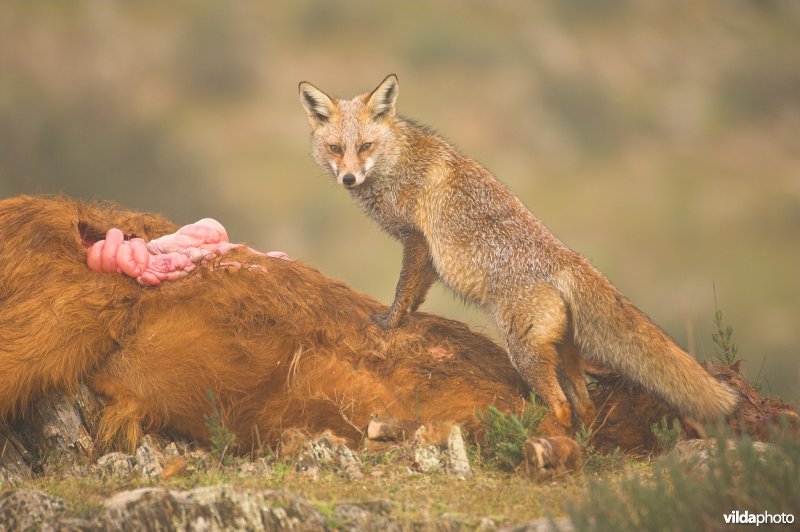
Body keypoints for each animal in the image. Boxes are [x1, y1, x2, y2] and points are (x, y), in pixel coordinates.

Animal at [300, 74, 736, 432]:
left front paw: (390, 323)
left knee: (562, 406)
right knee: (584, 406)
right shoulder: (426, 253)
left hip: (524, 351)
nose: (349, 178)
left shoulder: (418, 241)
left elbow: (403, 291)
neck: (396, 165)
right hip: (564, 354)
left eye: (365, 146)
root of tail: (569, 260)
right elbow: (417, 294)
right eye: (336, 148)